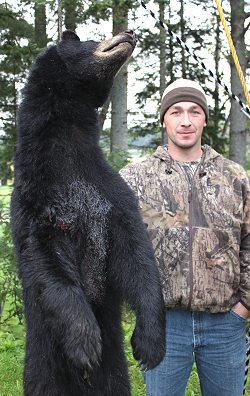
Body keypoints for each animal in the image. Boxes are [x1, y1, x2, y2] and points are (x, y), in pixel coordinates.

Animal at [10, 31, 166, 396]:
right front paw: (85, 343)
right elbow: (45, 258)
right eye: (91, 39)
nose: (129, 33)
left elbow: (136, 253)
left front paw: (149, 342)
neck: (68, 149)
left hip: (115, 370)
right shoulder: (36, 197)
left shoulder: (109, 192)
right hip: (42, 362)